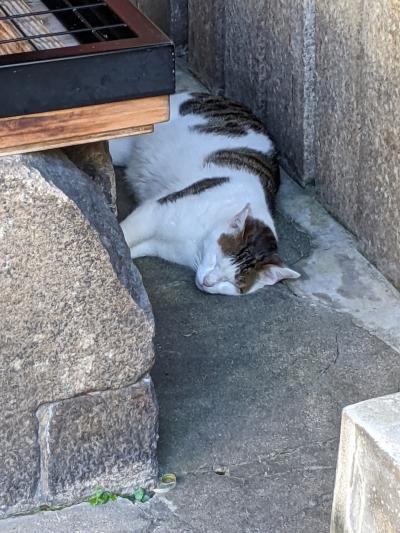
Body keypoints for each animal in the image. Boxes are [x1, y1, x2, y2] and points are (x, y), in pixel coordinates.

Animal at [109, 91, 300, 296]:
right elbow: (124, 234)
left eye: (231, 282)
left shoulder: (157, 245)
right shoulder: (155, 211)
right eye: (217, 259)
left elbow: (127, 248)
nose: (208, 282)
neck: (197, 244)